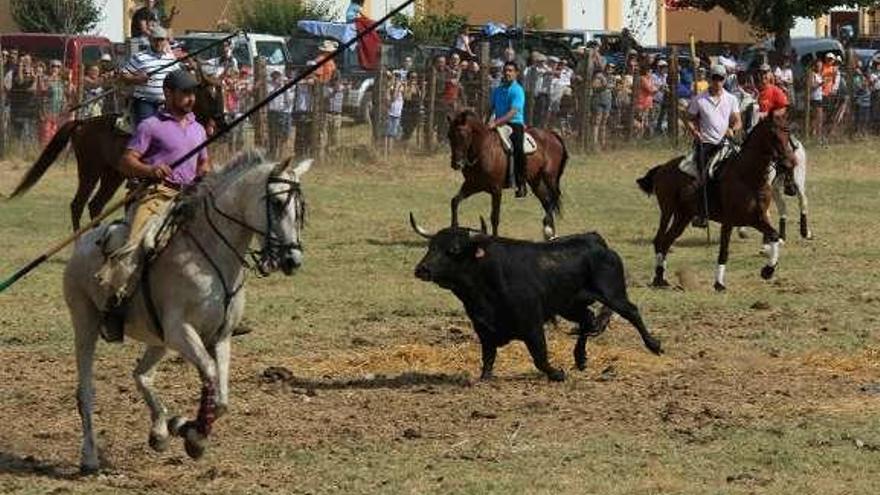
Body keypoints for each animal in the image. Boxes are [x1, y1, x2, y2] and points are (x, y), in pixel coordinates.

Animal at [9, 81, 223, 231]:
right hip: (89, 171)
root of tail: (83, 123)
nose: (223, 118)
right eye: (209, 94)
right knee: (78, 205)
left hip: (112, 176)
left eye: (220, 92)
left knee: (95, 205)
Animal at [62, 150, 310, 472]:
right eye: (277, 203)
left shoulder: (220, 337)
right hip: (86, 323)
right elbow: (210, 374)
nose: (292, 260)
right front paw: (193, 435)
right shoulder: (181, 331)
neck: (211, 255)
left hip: (158, 338)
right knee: (86, 392)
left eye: (301, 208)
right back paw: (90, 457)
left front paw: (184, 427)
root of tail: (82, 244)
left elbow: (222, 399)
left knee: (141, 375)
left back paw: (159, 432)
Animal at [410, 215, 660, 382]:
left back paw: (654, 345)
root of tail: (594, 240)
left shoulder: (532, 323)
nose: (421, 269)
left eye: (453, 249)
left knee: (631, 312)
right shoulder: (483, 326)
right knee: (587, 320)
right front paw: (484, 377)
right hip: (570, 305)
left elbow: (539, 356)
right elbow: (488, 355)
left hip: (613, 294)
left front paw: (557, 373)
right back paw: (580, 358)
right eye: (431, 246)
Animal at [446, 110, 572, 240]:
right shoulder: (472, 185)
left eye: (463, 135)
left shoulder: (496, 190)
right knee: (547, 202)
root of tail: (552, 135)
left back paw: (549, 229)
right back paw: (550, 234)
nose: (456, 164)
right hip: (535, 181)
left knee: (553, 198)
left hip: (550, 178)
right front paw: (453, 228)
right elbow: (455, 201)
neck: (483, 149)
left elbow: (495, 218)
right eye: (449, 136)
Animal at [636, 114, 800, 292]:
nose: (789, 163)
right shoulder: (729, 222)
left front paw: (768, 271)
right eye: (774, 136)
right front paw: (719, 284)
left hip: (683, 216)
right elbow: (724, 250)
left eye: (788, 135)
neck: (749, 177)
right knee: (659, 240)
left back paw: (661, 278)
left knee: (666, 241)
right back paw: (658, 278)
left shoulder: (756, 219)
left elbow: (774, 236)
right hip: (668, 210)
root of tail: (663, 167)